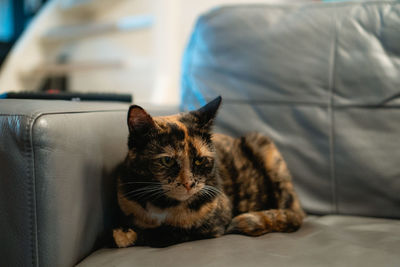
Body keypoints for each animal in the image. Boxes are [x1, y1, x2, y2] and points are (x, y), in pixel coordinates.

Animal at [112, 96, 306, 249]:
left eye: (199, 160)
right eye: (167, 161)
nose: (189, 184)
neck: (163, 206)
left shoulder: (217, 221)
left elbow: (174, 231)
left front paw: (127, 235)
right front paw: (125, 232)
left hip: (264, 146)